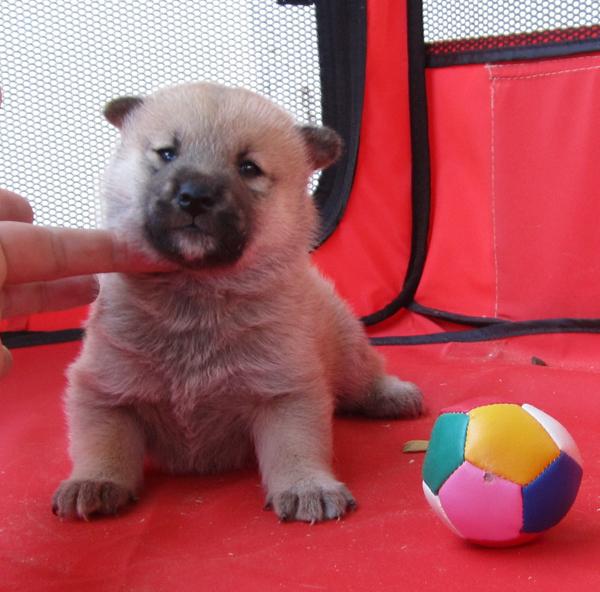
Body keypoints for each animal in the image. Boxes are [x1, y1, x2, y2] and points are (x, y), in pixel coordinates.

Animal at [51, 83, 422, 524]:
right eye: (167, 153)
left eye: (248, 167)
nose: (195, 196)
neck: (196, 295)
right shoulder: (103, 389)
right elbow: (103, 441)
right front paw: (94, 481)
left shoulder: (286, 391)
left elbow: (294, 445)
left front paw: (307, 486)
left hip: (347, 348)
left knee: (365, 376)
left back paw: (392, 395)